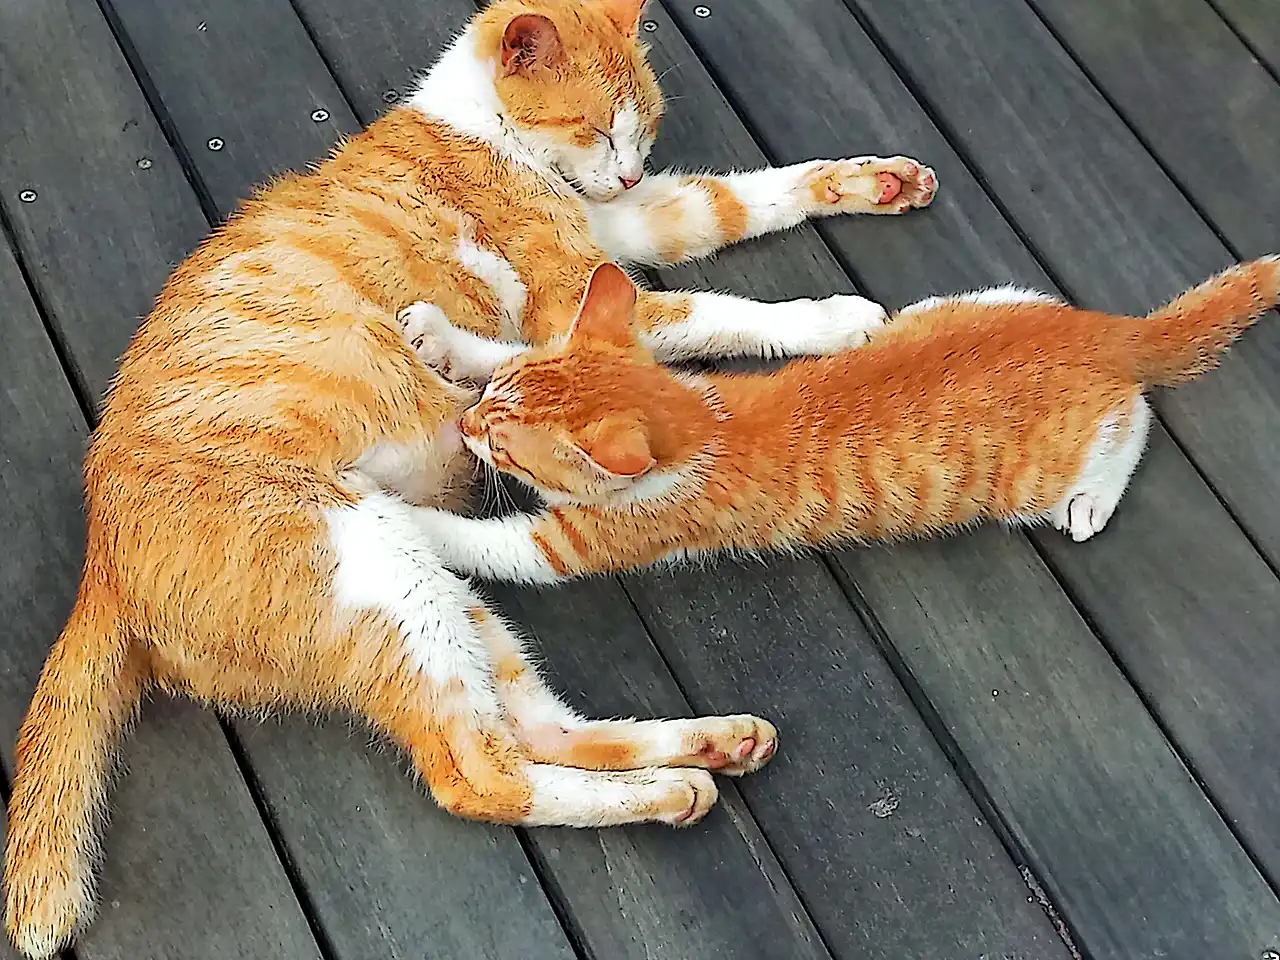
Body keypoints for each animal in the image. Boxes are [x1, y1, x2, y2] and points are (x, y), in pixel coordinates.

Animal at [3, 1, 940, 955]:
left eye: (643, 128)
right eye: (597, 126)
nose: (626, 169)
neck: (480, 129)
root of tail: (100, 568)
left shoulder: (633, 224)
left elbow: (738, 196)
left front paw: (874, 181)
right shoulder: (580, 300)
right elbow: (715, 310)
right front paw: (834, 319)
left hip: (440, 596)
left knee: (535, 727)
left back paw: (708, 749)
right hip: (381, 568)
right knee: (480, 776)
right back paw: (667, 788)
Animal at [396, 256, 1279, 584]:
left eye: (501, 445)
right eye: (493, 399)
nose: (467, 427)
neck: (696, 417)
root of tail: (1101, 331)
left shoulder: (577, 544)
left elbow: (491, 546)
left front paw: (405, 520)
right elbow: (514, 341)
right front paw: (447, 343)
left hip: (1048, 469)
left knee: (1135, 418)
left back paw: (1092, 501)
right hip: (967, 300)